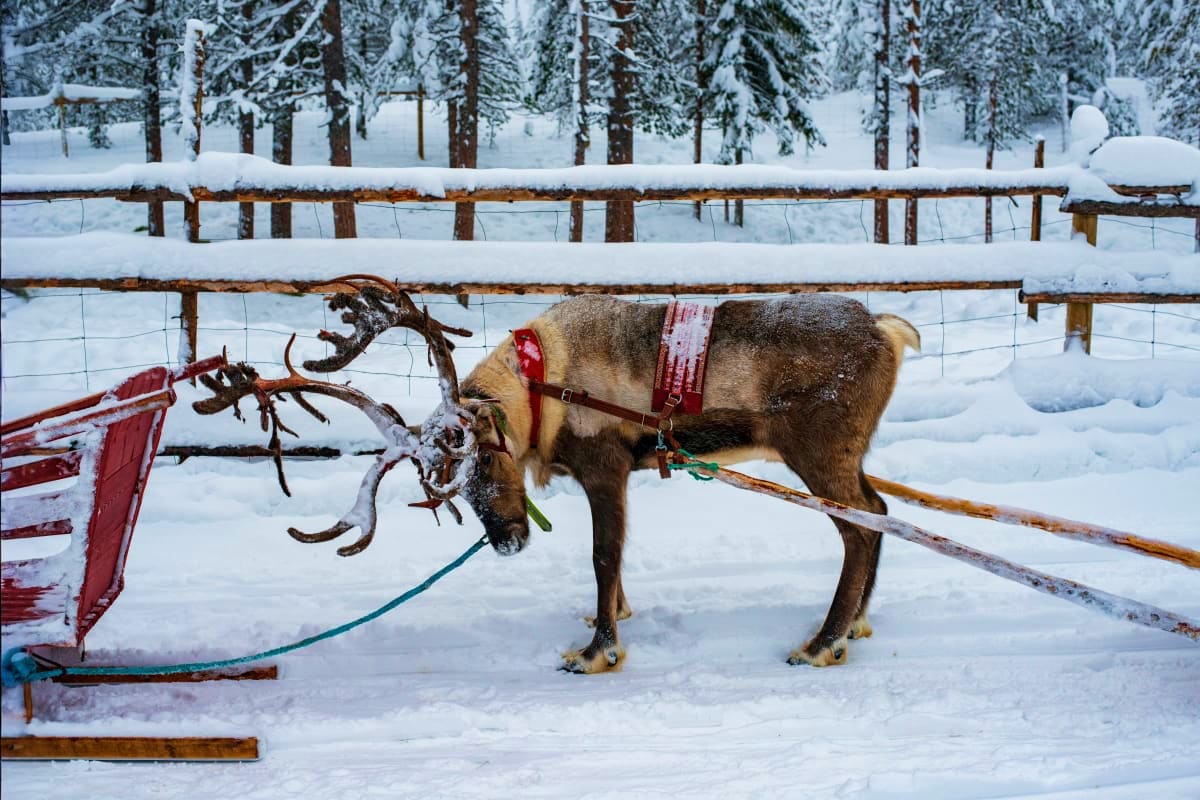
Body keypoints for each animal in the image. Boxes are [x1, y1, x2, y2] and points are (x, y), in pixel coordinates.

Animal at [197, 277, 919, 673]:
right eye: (449, 482)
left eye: (484, 454)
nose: (508, 540)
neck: (541, 385)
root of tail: (889, 330)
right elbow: (613, 565)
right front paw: (611, 618)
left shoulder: (606, 466)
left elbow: (603, 555)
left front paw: (598, 652)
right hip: (844, 456)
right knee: (881, 509)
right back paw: (854, 625)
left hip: (817, 452)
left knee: (860, 528)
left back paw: (821, 643)